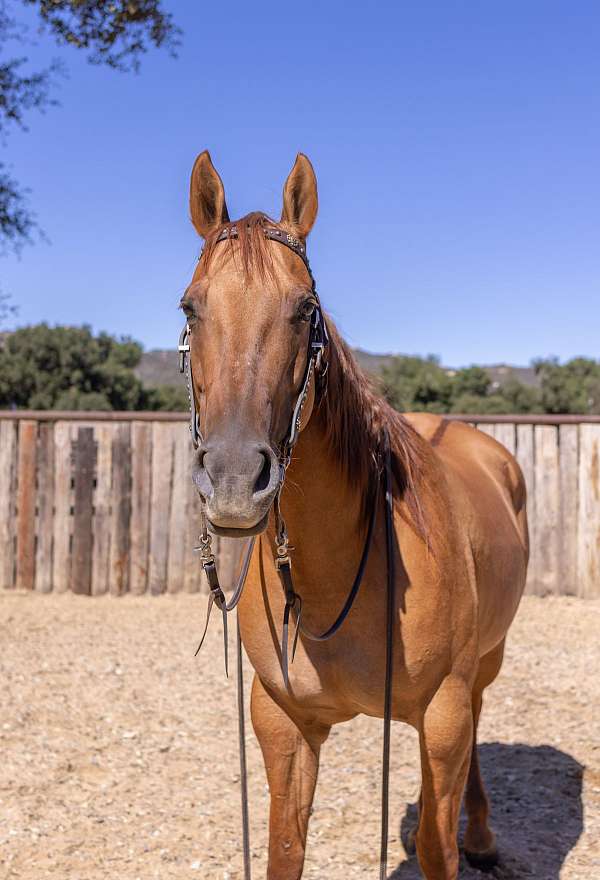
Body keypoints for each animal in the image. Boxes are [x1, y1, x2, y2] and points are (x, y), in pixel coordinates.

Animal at [180, 148, 528, 876]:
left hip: (485, 664)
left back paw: (481, 834)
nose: (233, 478)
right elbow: (285, 848)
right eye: (191, 307)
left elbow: (438, 849)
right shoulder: (283, 724)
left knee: (479, 720)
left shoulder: (443, 715)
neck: (332, 573)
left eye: (304, 308)